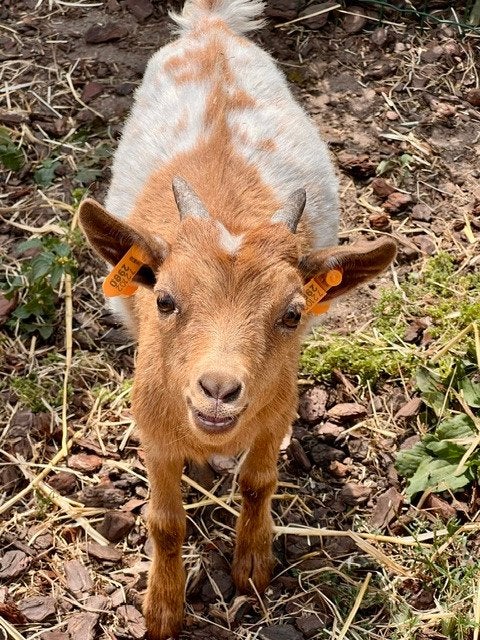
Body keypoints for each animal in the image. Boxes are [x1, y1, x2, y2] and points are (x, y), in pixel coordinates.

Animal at [79, 1, 396, 637]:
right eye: (165, 300)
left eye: (293, 313)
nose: (219, 390)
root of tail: (213, 28)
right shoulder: (154, 431)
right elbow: (165, 523)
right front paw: (164, 609)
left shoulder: (277, 410)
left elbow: (257, 482)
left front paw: (252, 566)